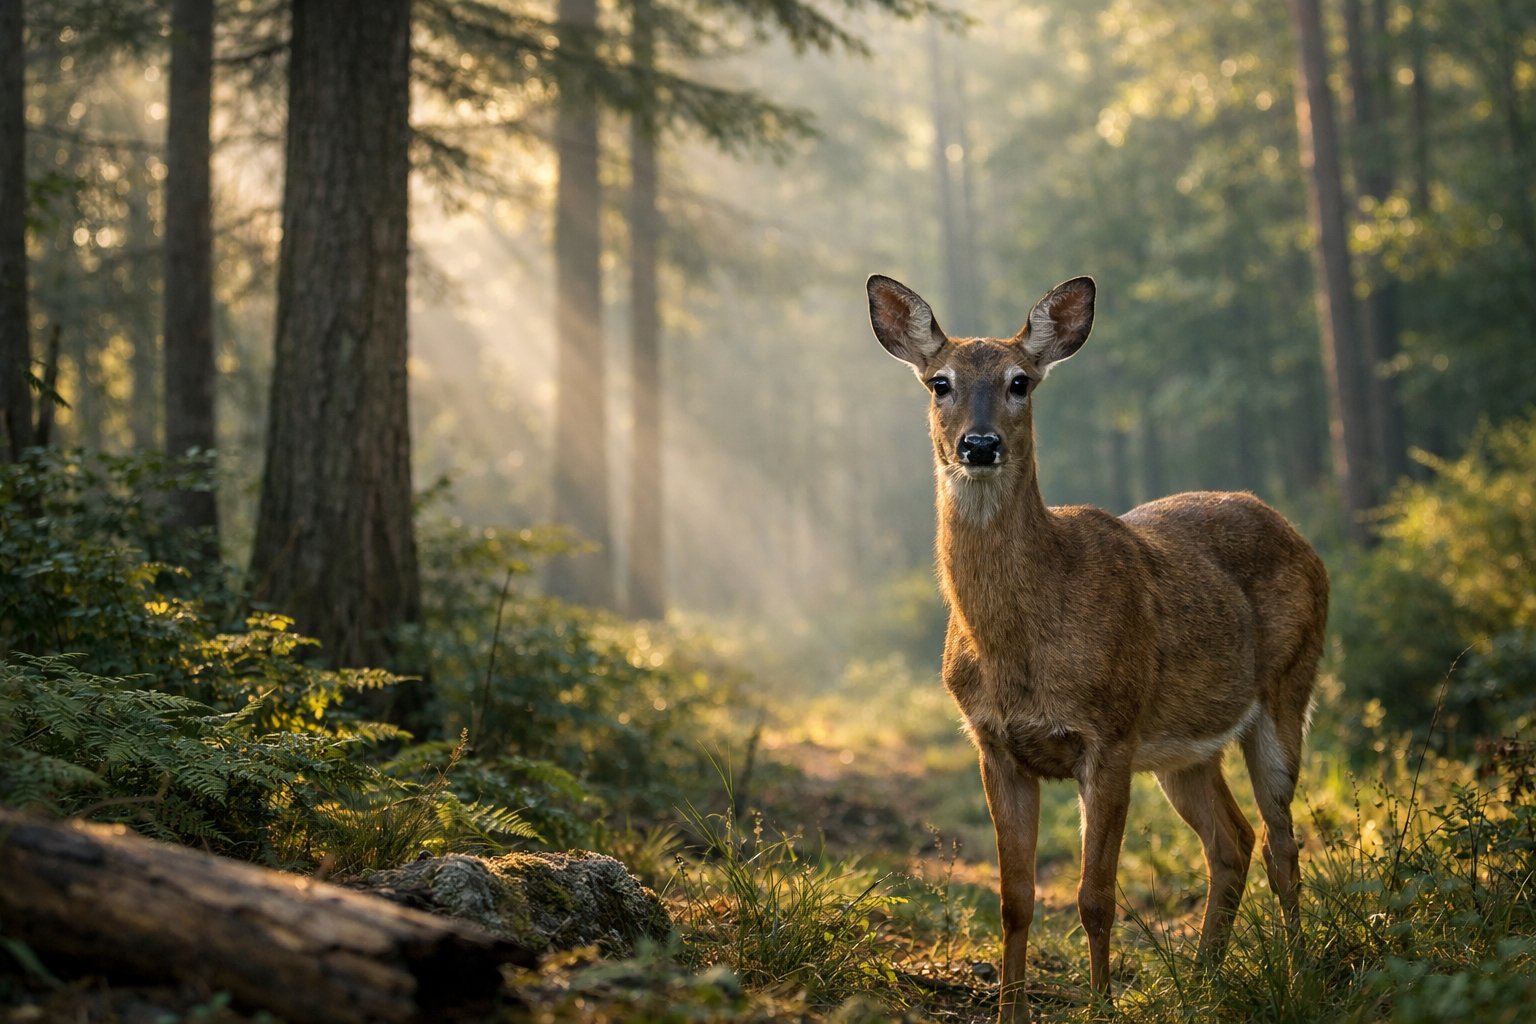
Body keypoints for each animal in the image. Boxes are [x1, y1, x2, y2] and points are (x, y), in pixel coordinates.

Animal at [866, 274, 1329, 1022]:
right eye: (940, 383)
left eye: (1020, 381)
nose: (979, 445)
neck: (1020, 648)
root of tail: (1300, 536)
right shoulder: (994, 744)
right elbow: (1015, 900)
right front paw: (1011, 1012)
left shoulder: (1108, 735)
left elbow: (1095, 898)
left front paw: (1103, 1005)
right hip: (1183, 748)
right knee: (1233, 840)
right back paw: (1203, 980)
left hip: (1288, 687)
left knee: (1283, 844)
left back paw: (1297, 974)